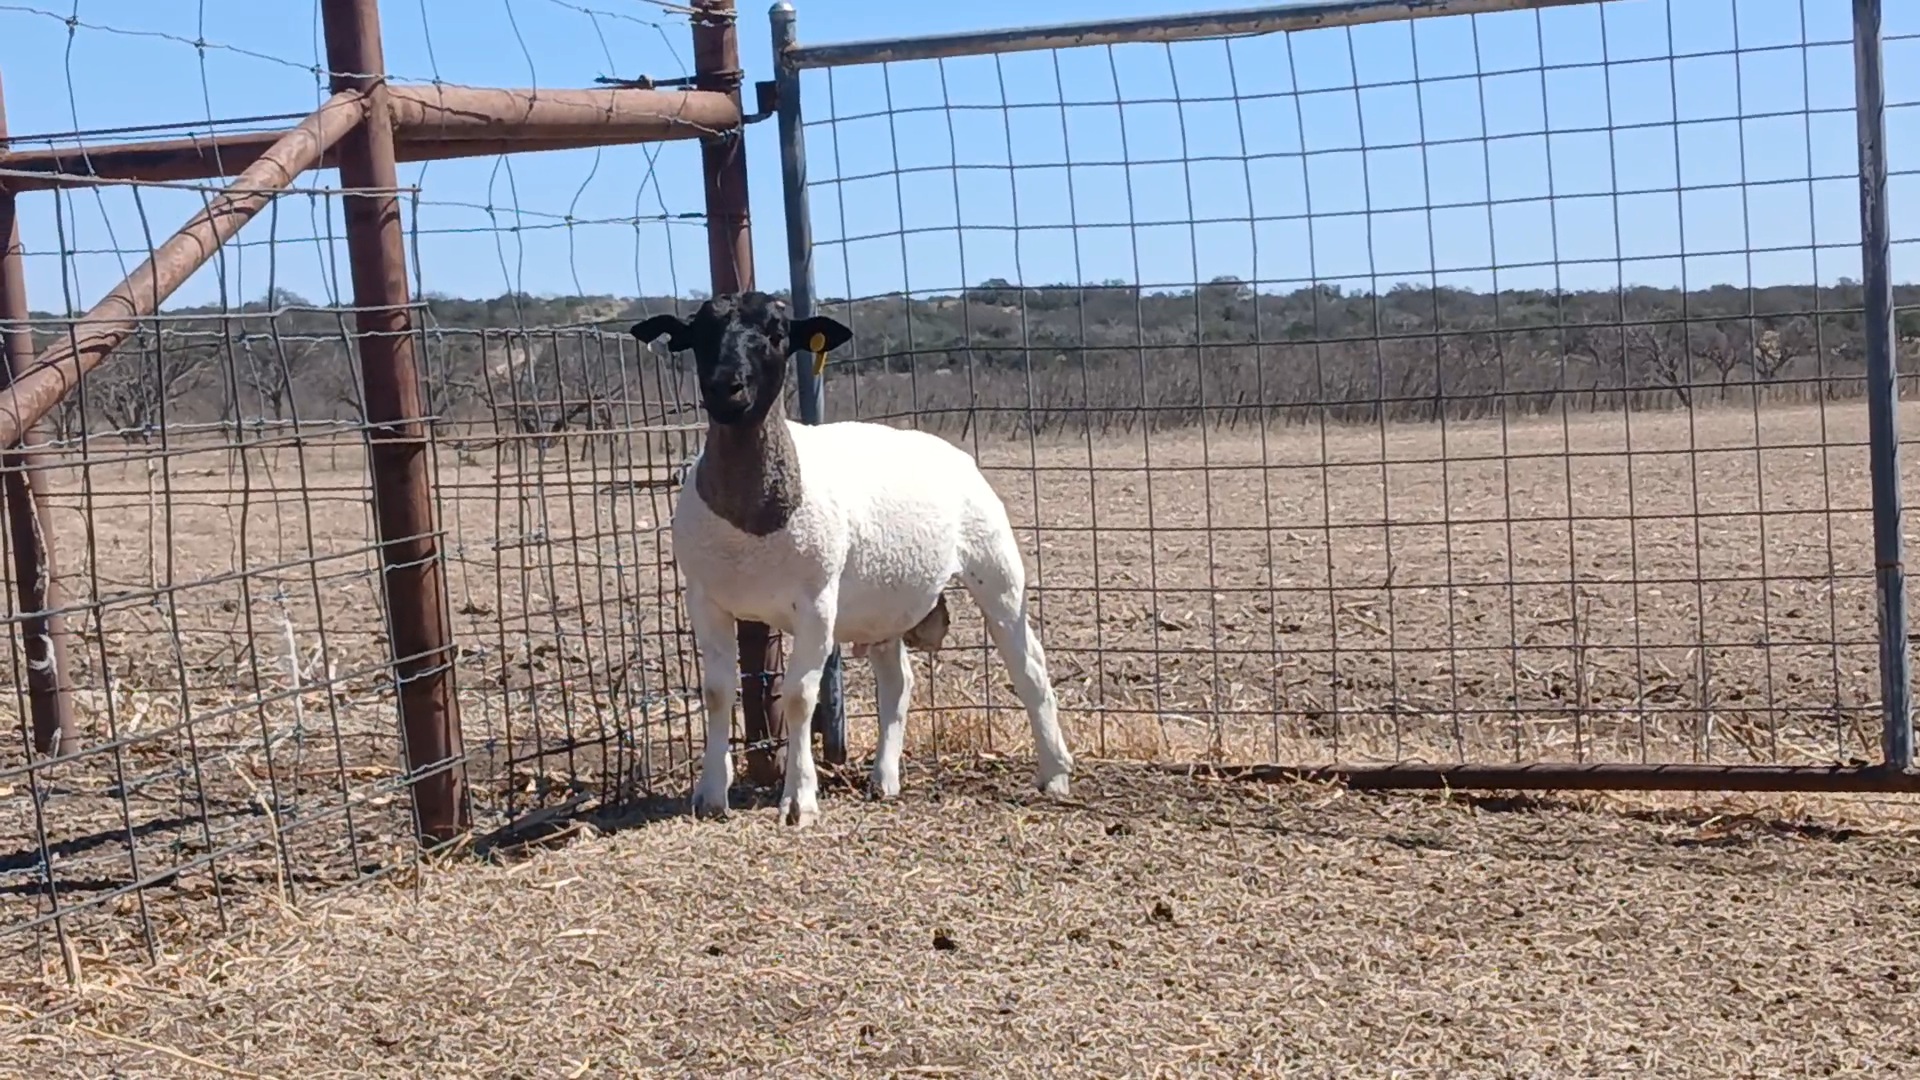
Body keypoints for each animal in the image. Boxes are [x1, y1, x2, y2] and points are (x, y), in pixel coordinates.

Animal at [632, 292, 1074, 827]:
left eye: (777, 334)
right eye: (697, 334)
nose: (725, 387)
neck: (751, 518)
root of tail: (946, 448)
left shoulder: (817, 603)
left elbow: (800, 697)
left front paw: (799, 800)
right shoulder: (705, 600)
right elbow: (717, 692)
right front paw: (711, 794)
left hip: (996, 567)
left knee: (1028, 666)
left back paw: (1054, 774)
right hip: (883, 604)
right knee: (898, 684)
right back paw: (884, 779)